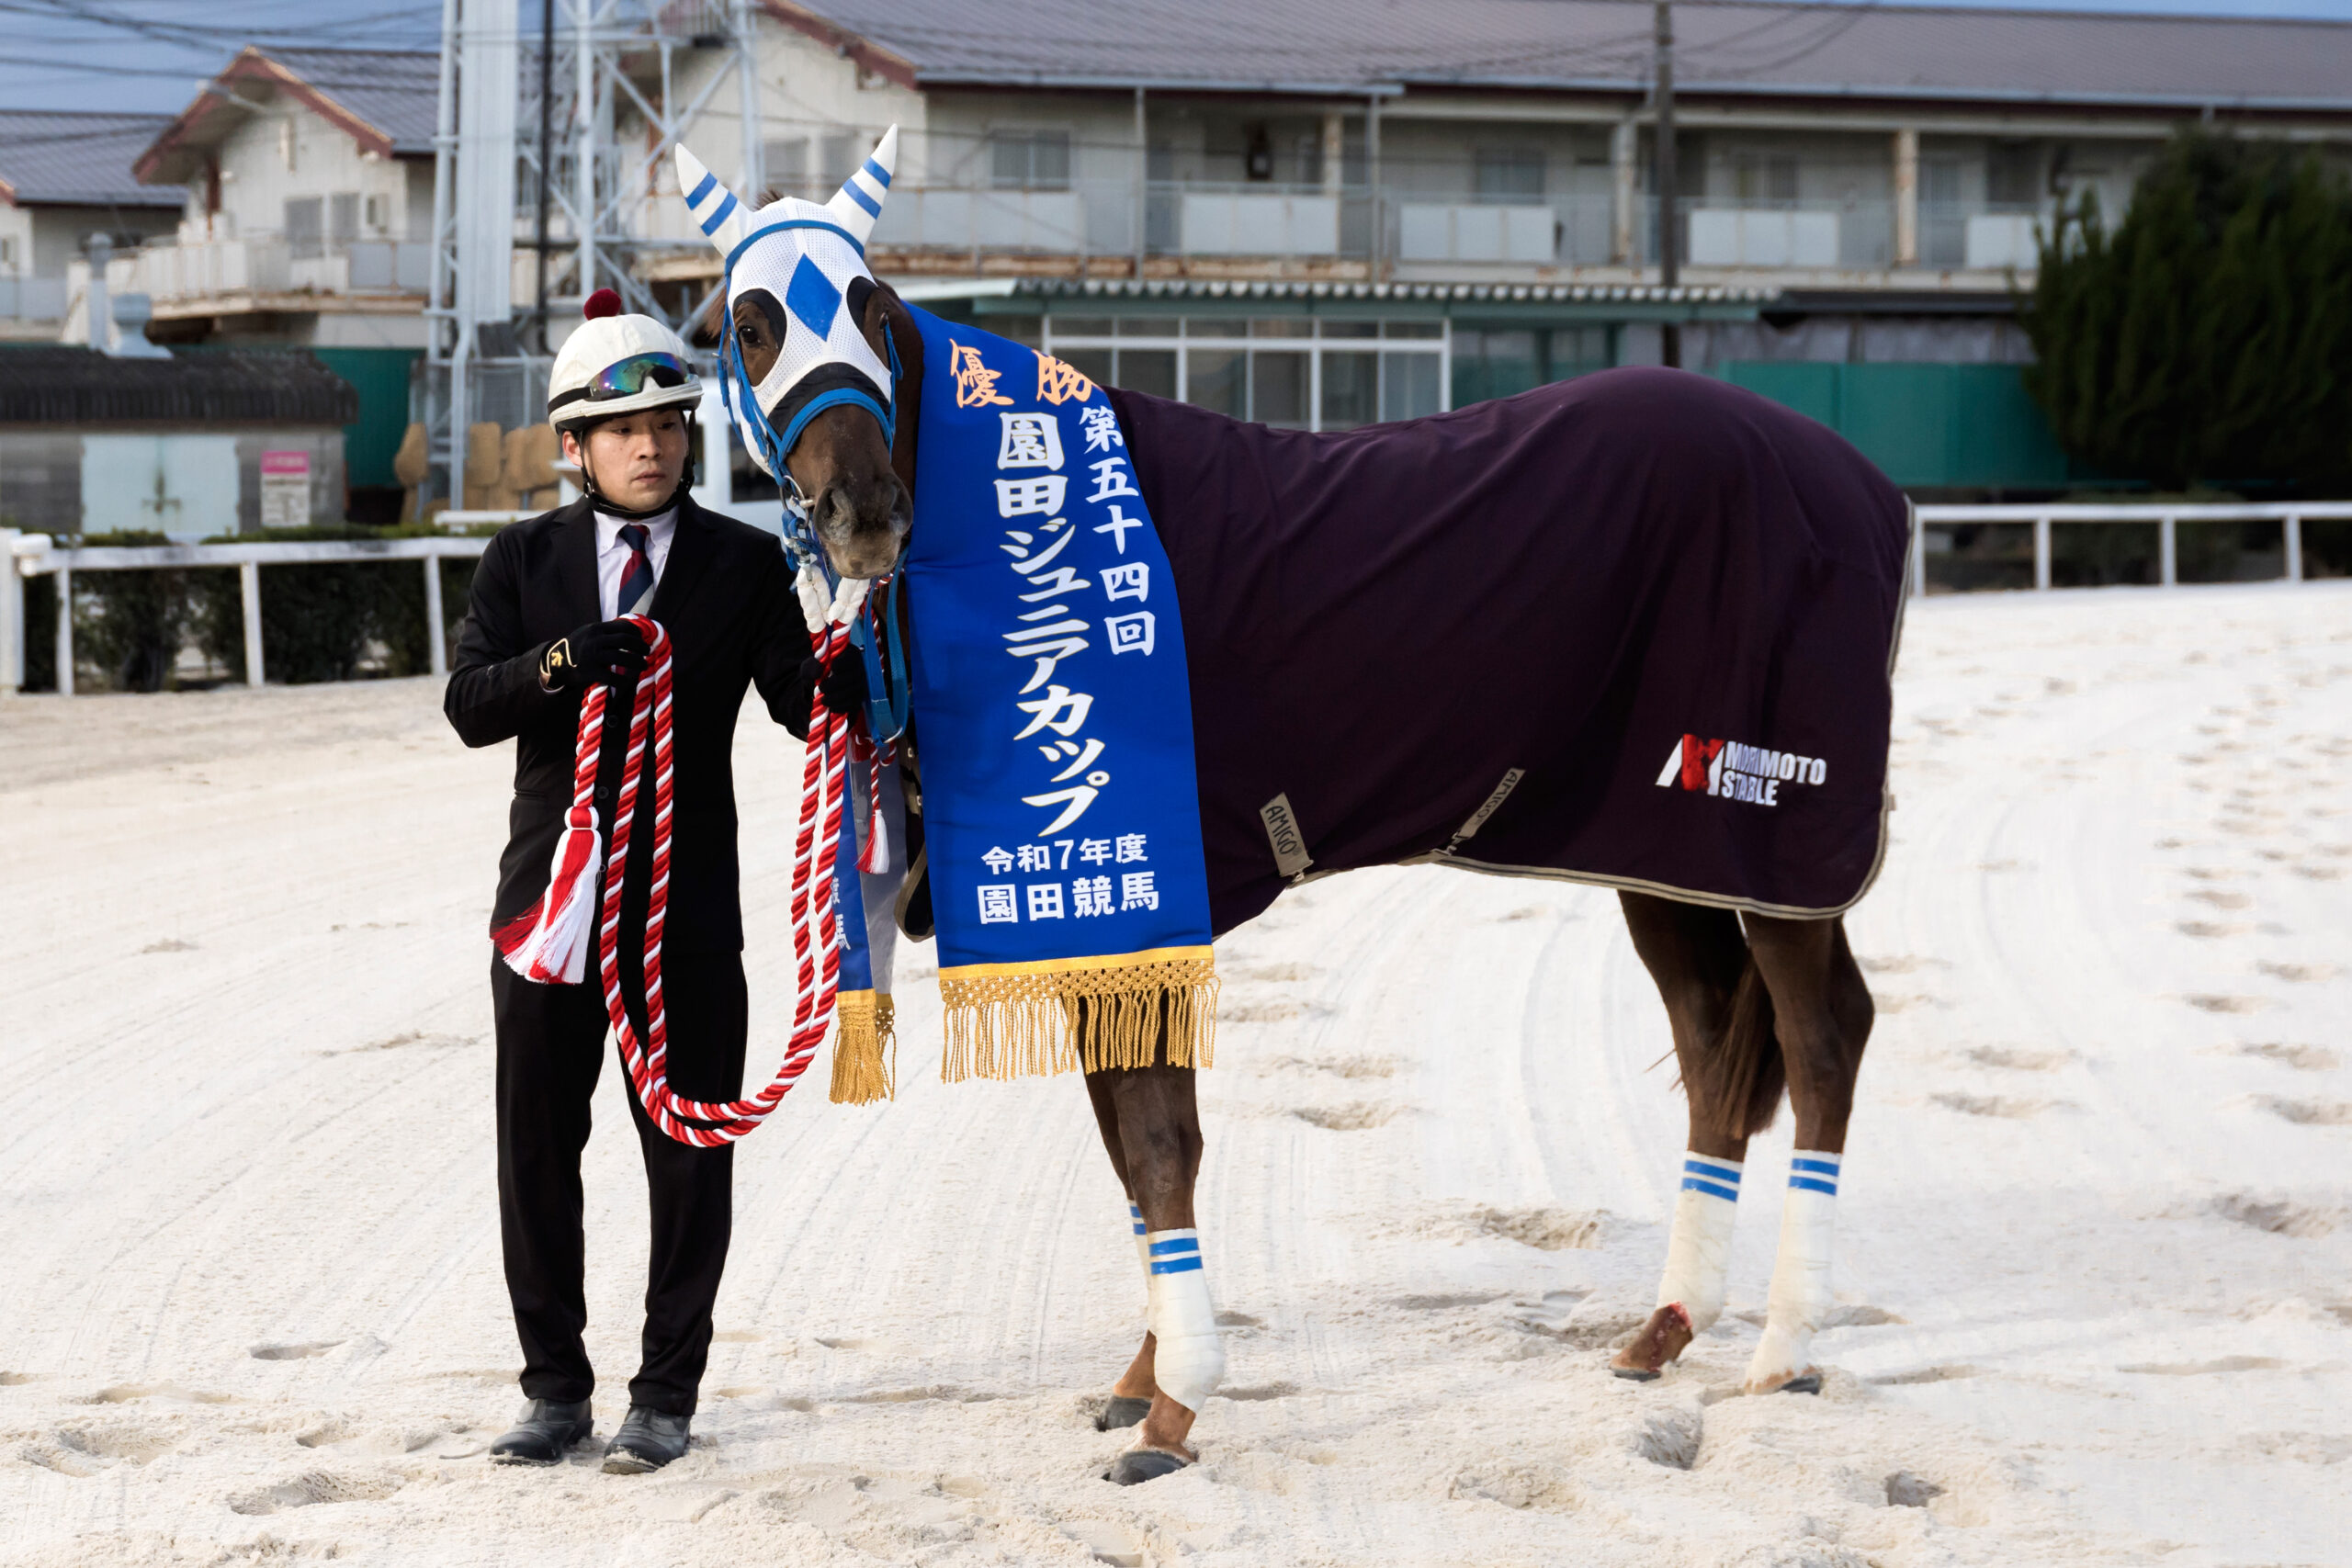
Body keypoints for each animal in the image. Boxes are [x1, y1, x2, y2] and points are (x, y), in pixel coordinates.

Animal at [675, 128, 1905, 1483]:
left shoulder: (1136, 888)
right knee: (1714, 1039)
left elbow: (1158, 1141)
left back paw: (1783, 1344)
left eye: (869, 308)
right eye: (747, 324)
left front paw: (1175, 1405)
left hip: (1779, 836)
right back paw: (1669, 1321)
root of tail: (1858, 480)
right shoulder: (1092, 907)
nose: (862, 509)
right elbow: (1127, 1140)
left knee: (1824, 1035)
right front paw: (1144, 1375)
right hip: (1664, 843)